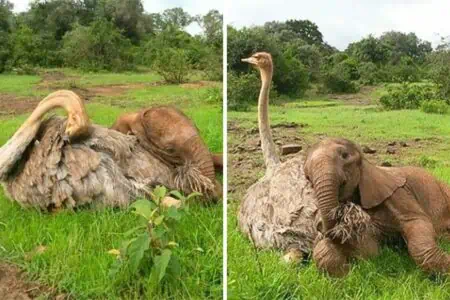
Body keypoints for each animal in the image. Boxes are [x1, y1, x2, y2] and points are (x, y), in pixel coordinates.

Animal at [304, 138, 450, 276]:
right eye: (307, 176)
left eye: (344, 155)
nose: (320, 227)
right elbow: (369, 250)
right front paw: (345, 273)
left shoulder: (398, 193)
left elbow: (417, 222)